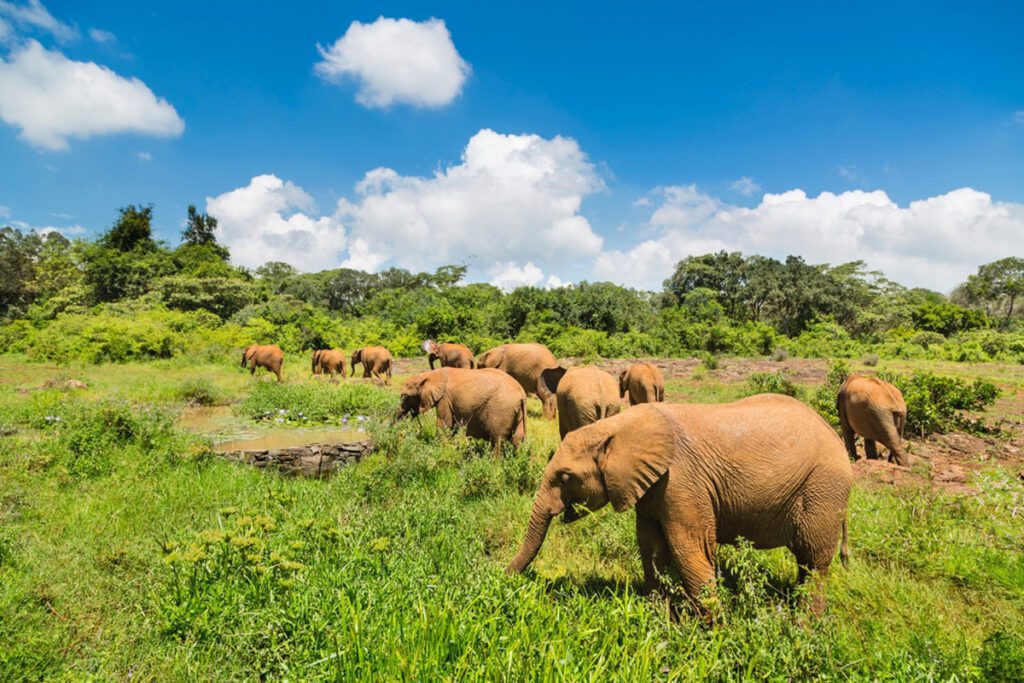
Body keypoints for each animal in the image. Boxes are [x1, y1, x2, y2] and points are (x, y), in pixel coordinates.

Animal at [395, 366, 528, 456]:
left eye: (405, 397)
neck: (429, 374)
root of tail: (521, 395)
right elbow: (452, 426)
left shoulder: (445, 398)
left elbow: (444, 425)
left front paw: (441, 450)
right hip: (517, 411)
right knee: (517, 439)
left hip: (501, 410)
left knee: (498, 440)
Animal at [507, 393, 851, 618]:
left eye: (566, 477)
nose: (503, 576)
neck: (617, 426)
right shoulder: (649, 486)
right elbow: (651, 548)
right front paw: (660, 618)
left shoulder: (681, 481)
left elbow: (689, 548)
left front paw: (713, 633)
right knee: (806, 564)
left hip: (822, 489)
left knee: (814, 561)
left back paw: (805, 626)